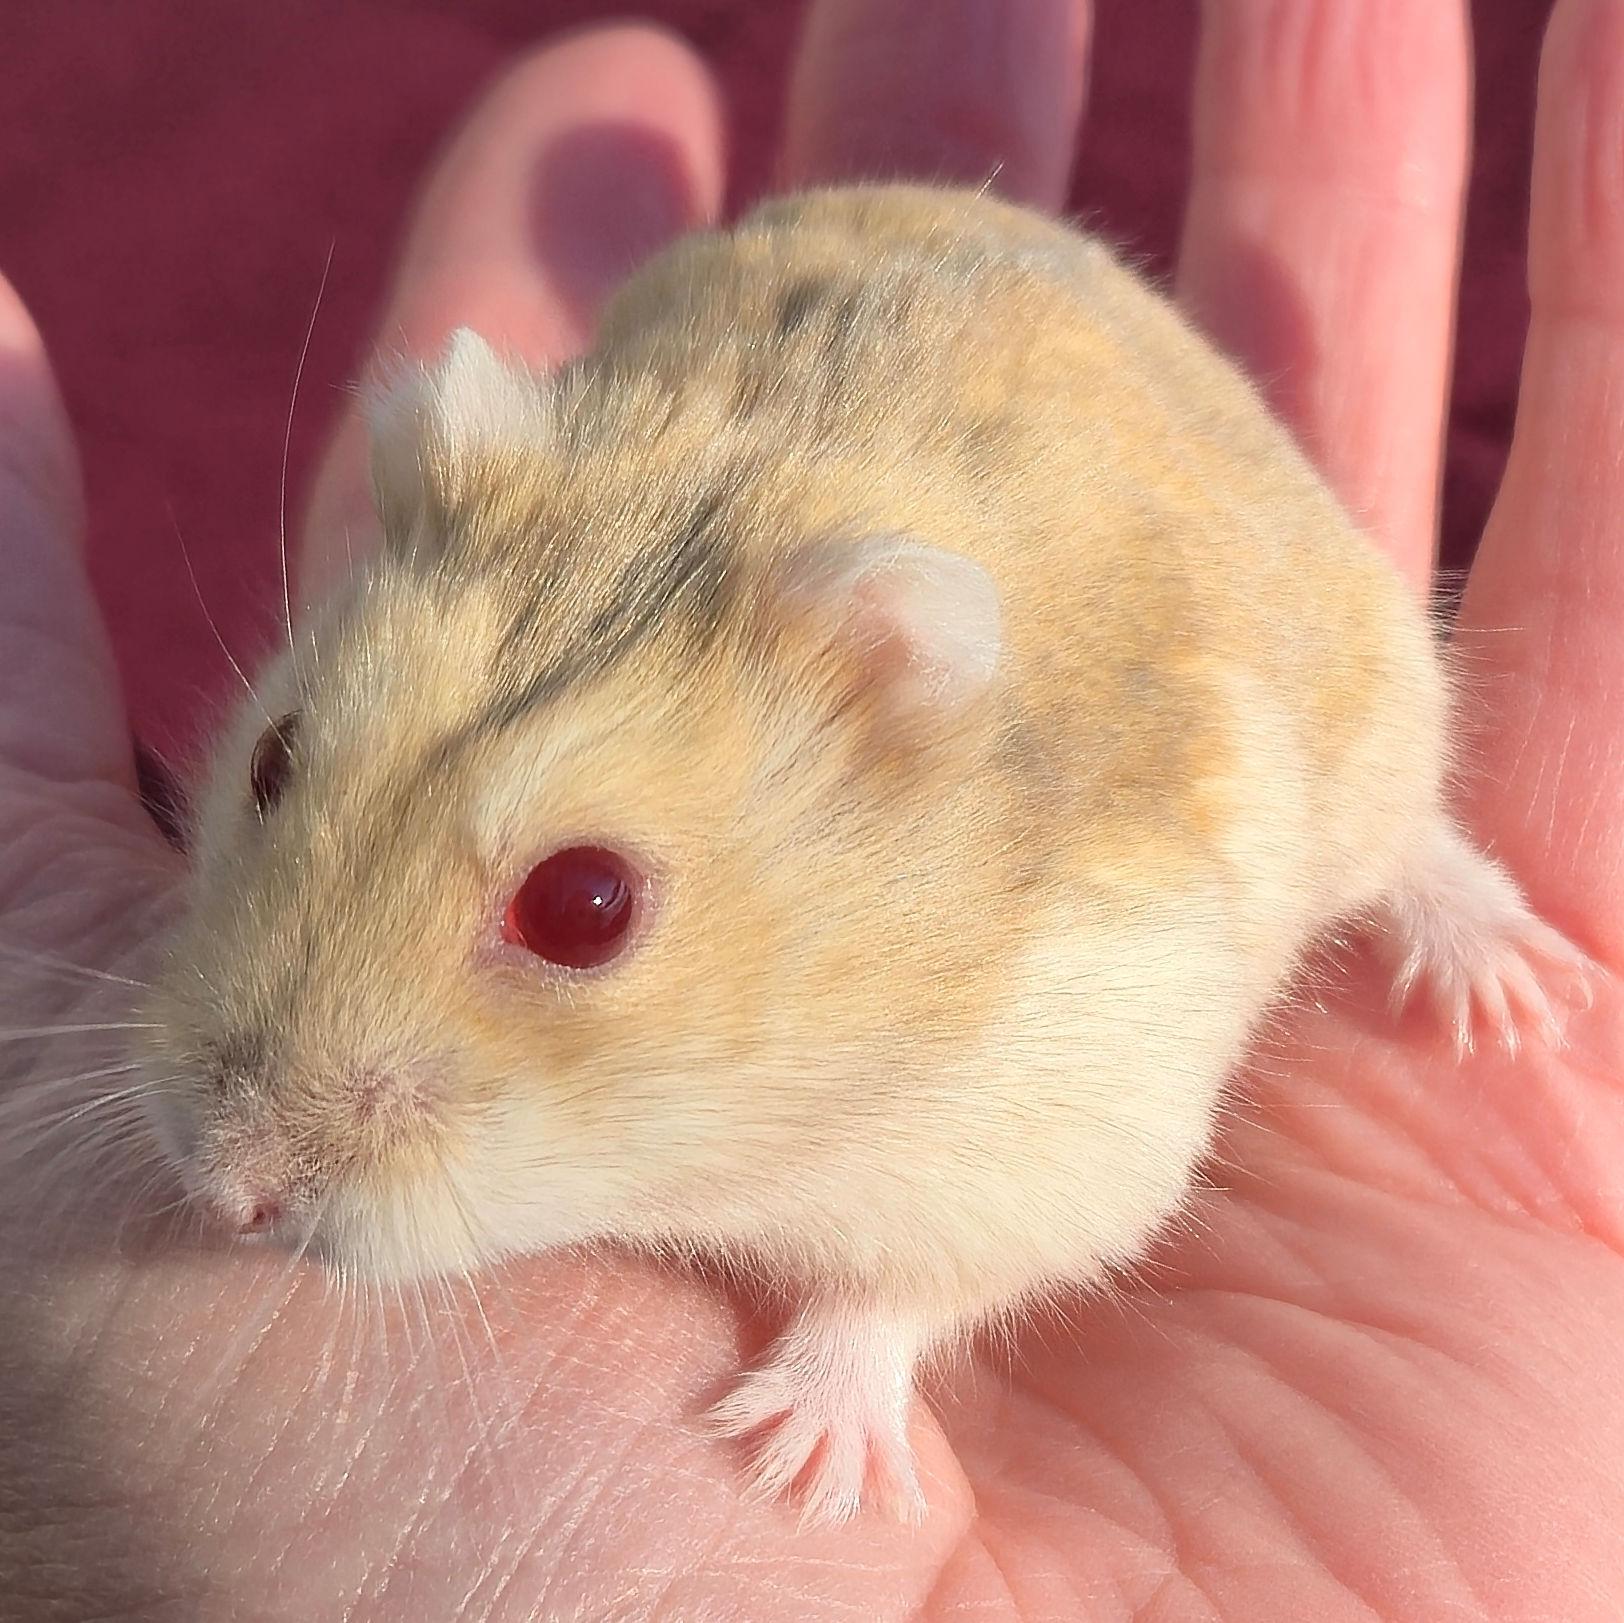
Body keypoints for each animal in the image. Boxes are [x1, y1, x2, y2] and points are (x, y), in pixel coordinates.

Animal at [136, 184, 1589, 1525]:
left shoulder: (1063, 1139)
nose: (223, 1191)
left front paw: (790, 1461)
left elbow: (900, 1290)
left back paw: (1512, 995)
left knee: (1421, 848)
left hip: (1383, 710)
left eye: (584, 905)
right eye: (271, 760)